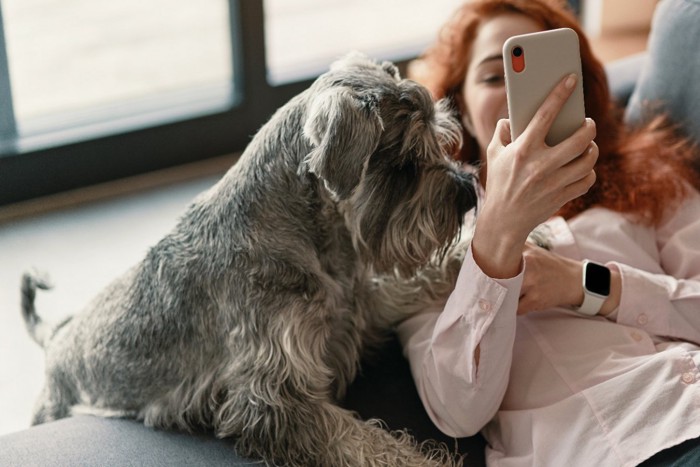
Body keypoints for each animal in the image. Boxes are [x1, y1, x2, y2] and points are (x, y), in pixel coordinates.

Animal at [23, 52, 482, 467]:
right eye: (404, 163)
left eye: (440, 138)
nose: (469, 193)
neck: (313, 236)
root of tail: (53, 339)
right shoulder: (275, 400)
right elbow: (366, 443)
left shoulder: (357, 306)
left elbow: (416, 280)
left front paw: (479, 252)